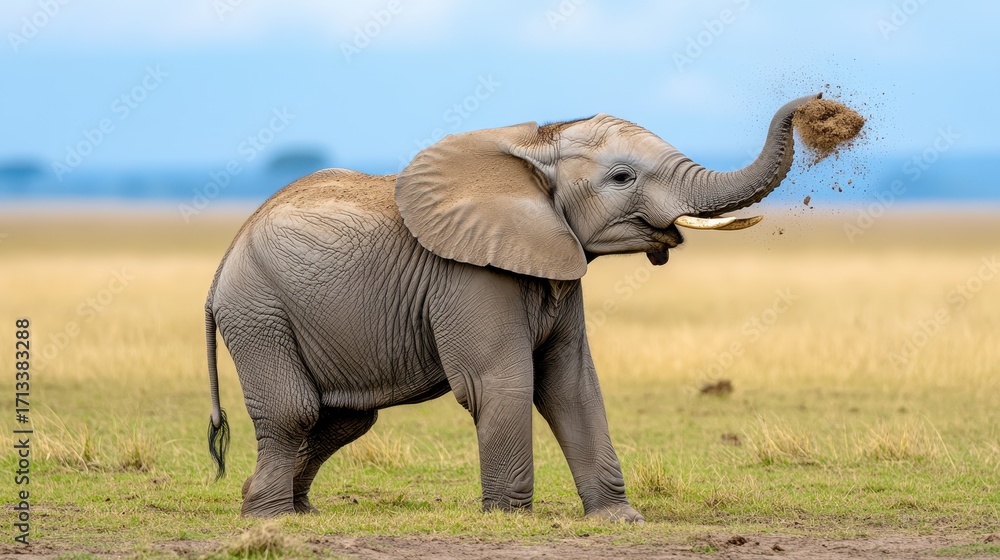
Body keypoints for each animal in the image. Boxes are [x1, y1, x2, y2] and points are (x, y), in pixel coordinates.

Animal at [205, 92, 821, 520]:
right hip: (258, 310)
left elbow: (572, 384)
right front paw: (508, 518)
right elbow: (501, 382)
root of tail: (225, 258)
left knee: (344, 419)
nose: (816, 102)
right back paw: (270, 517)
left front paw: (620, 519)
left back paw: (293, 509)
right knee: (296, 411)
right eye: (622, 177)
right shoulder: (467, 274)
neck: (537, 147)